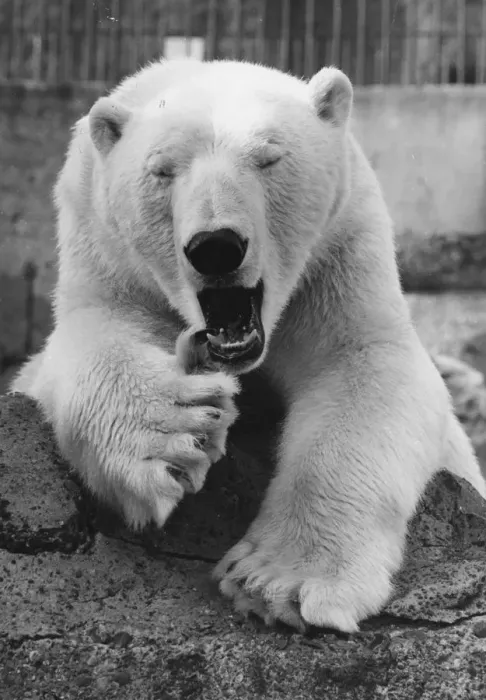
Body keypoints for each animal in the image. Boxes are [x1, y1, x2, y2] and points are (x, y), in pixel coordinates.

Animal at [11, 58, 486, 633]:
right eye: (162, 170)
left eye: (268, 157)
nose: (215, 246)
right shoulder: (105, 255)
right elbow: (91, 338)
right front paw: (179, 435)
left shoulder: (338, 257)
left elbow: (363, 366)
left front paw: (278, 581)